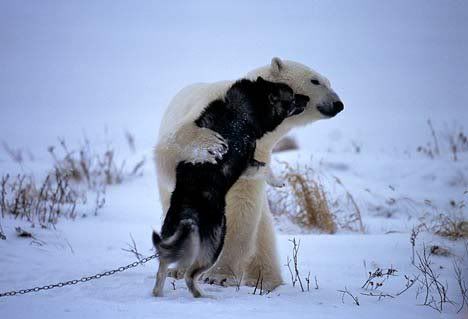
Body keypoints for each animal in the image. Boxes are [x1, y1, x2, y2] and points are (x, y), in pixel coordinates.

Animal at [155, 57, 342, 292]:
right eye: (315, 81)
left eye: (329, 81)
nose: (338, 104)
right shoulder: (205, 115)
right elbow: (172, 148)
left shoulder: (258, 151)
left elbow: (241, 207)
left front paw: (220, 276)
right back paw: (179, 268)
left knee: (263, 234)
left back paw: (265, 281)